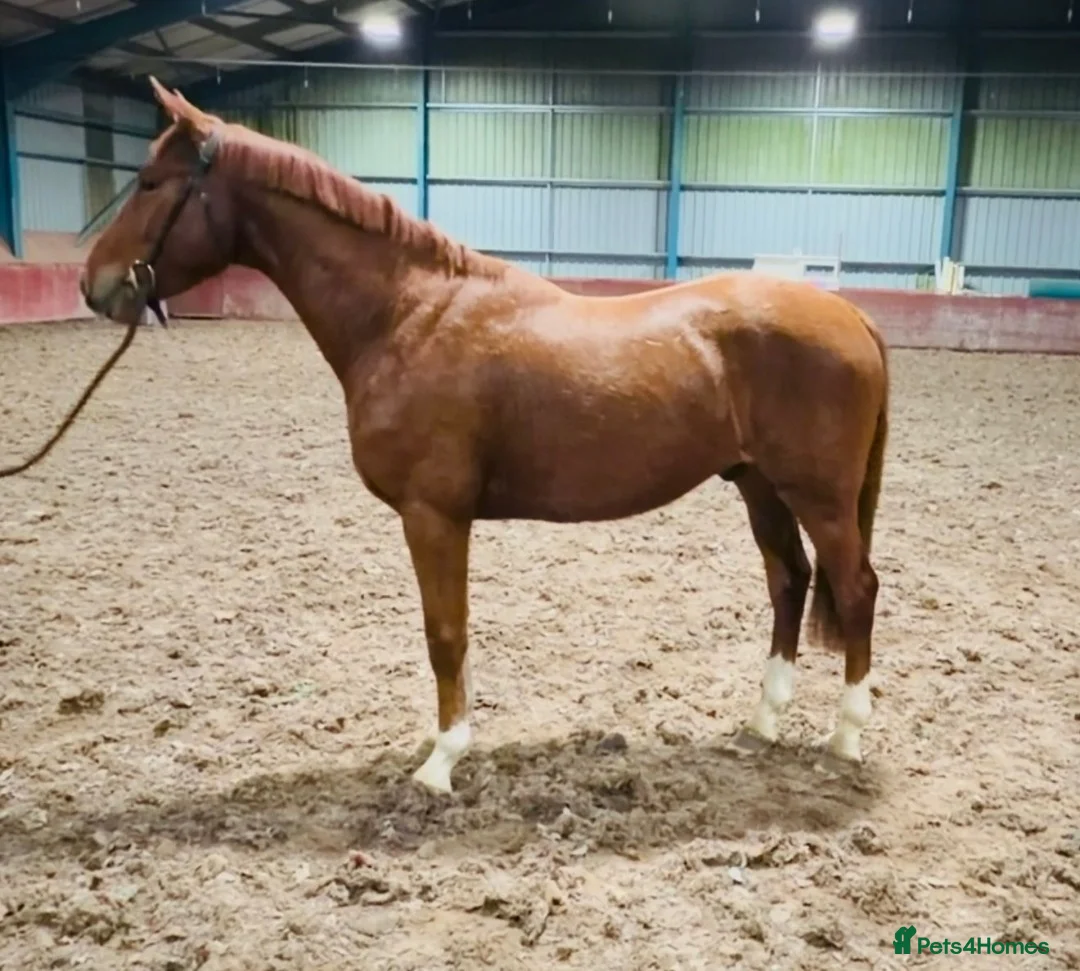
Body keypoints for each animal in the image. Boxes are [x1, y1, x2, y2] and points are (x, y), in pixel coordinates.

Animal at [76, 77, 889, 795]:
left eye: (149, 182)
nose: (94, 284)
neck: (407, 314)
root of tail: (849, 315)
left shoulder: (433, 516)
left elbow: (445, 634)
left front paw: (442, 760)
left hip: (817, 495)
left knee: (854, 587)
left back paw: (845, 738)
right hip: (760, 485)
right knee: (789, 581)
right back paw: (763, 724)